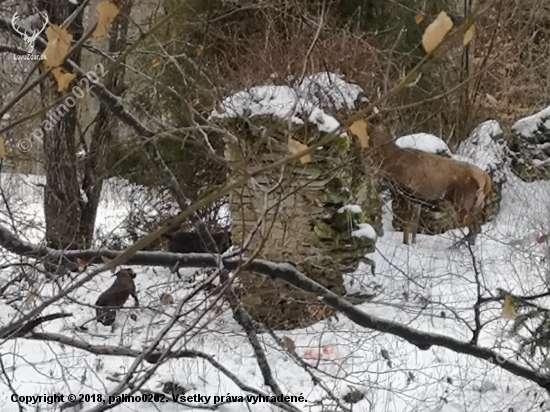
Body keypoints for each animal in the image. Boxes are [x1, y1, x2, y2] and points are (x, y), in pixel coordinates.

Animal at [358, 120, 496, 246]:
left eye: (372, 130)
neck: (391, 165)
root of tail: (486, 179)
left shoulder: (408, 193)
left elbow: (407, 224)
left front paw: (406, 244)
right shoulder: (418, 199)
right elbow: (414, 225)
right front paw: (413, 243)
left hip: (463, 201)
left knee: (475, 227)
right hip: (476, 205)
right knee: (476, 227)